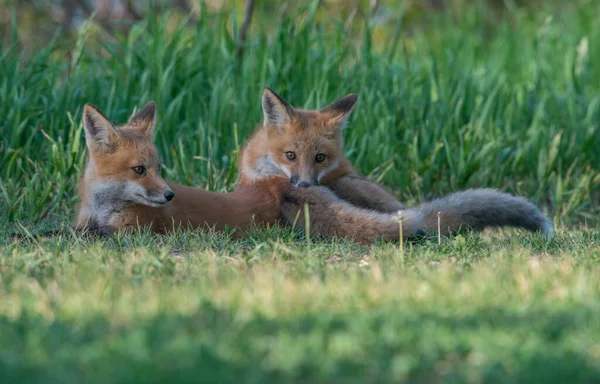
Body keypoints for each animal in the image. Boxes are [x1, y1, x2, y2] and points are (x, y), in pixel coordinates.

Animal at [72, 102, 424, 243]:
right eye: (139, 170)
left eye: (159, 169)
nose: (169, 195)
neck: (103, 207)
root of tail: (273, 185)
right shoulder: (84, 224)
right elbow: (71, 230)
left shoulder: (130, 232)